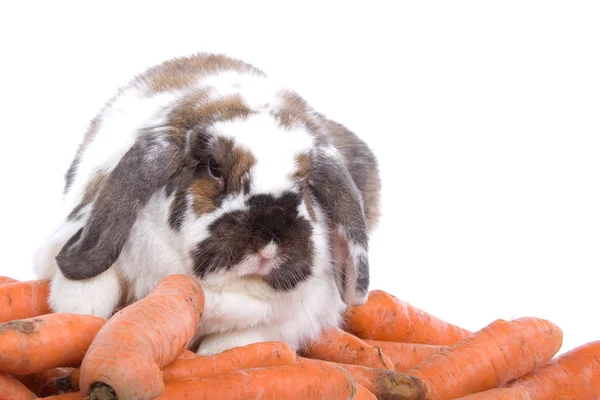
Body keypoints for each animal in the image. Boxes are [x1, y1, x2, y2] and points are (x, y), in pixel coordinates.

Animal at [31, 53, 380, 356]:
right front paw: (81, 312)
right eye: (214, 167)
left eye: (306, 184)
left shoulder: (290, 320)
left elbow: (233, 345)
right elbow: (90, 289)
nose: (269, 244)